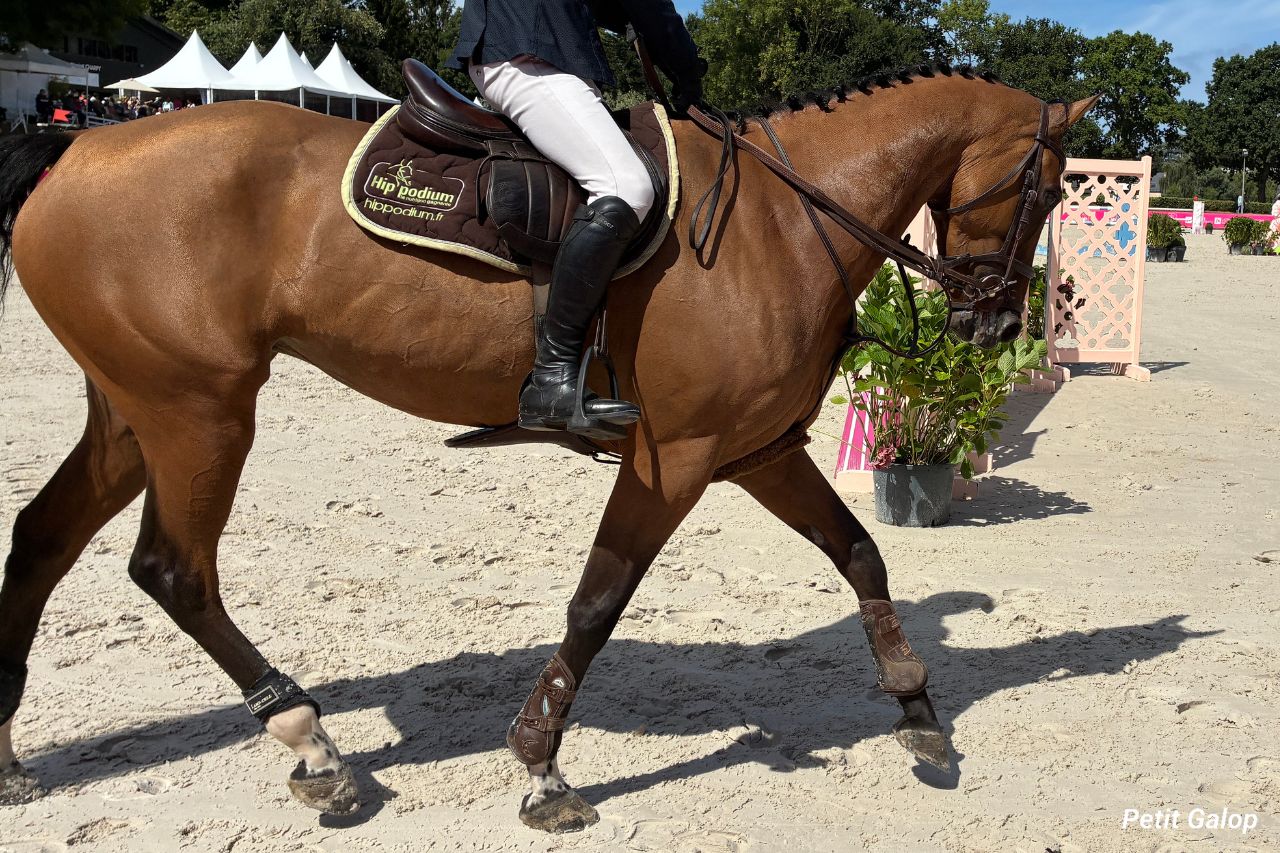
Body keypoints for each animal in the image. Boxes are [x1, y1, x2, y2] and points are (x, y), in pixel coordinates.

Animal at [0, 67, 1094, 832]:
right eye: (1044, 195)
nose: (997, 329)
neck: (788, 218)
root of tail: (80, 154)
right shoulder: (676, 456)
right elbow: (596, 602)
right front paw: (539, 764)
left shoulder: (756, 451)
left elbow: (861, 553)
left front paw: (918, 711)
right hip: (201, 411)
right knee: (173, 569)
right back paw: (313, 743)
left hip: (135, 414)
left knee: (43, 538)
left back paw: (9, 752)